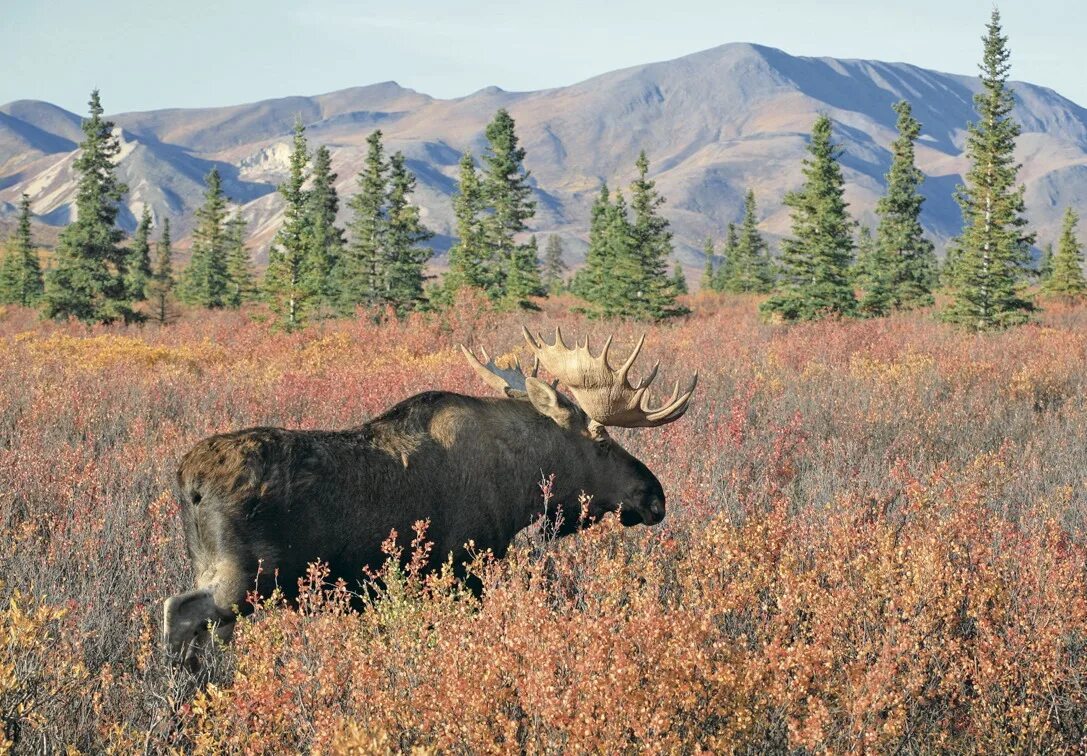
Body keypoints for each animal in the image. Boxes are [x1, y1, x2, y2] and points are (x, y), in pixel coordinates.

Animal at [165, 328, 700, 665]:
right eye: (602, 442)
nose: (654, 497)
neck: (520, 486)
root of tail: (188, 483)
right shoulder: (464, 568)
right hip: (244, 578)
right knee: (180, 612)